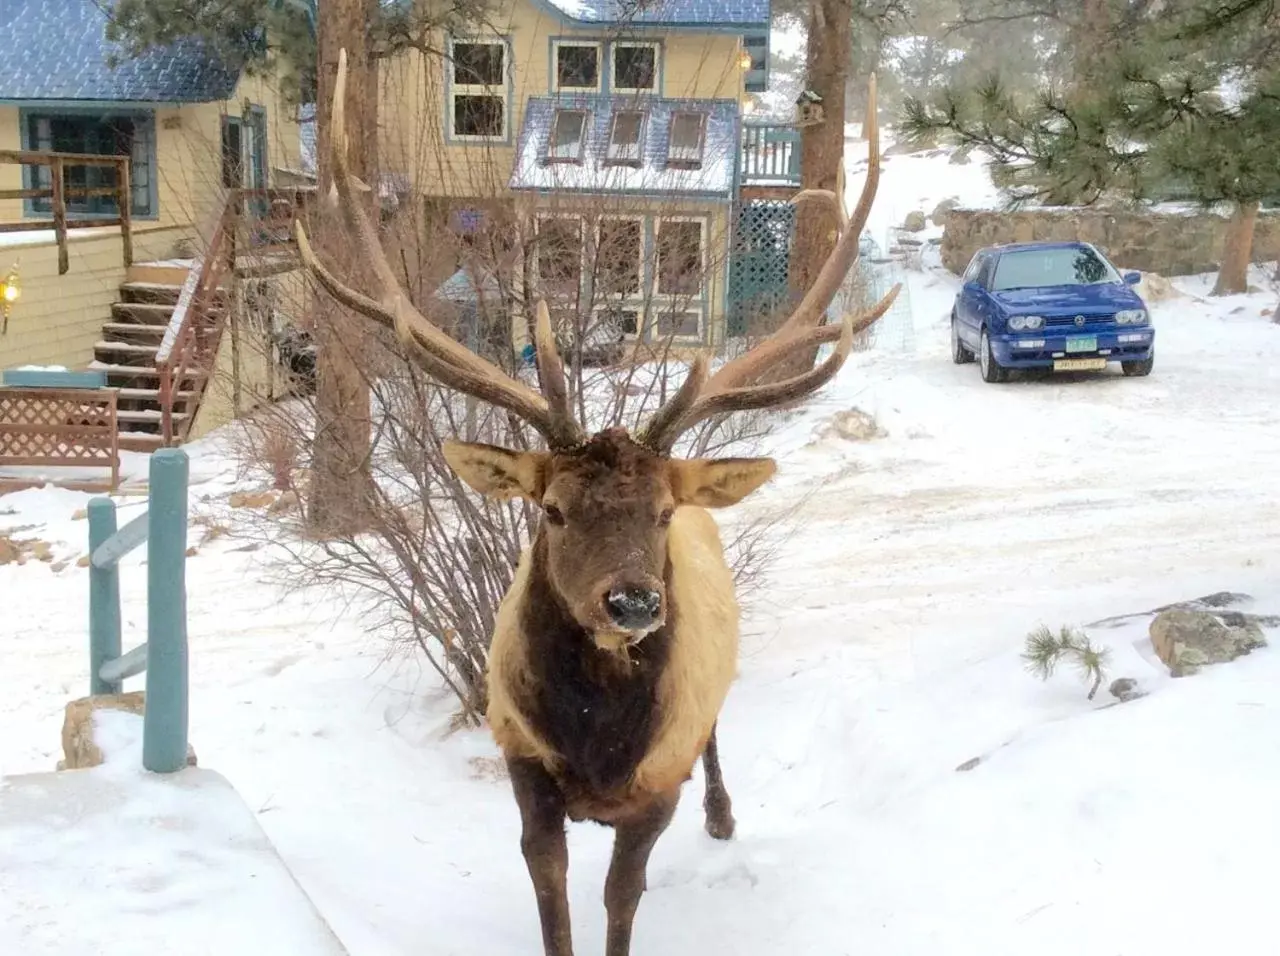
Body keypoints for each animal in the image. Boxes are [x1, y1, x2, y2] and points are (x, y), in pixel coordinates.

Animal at [299, 50, 901, 956]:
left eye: (660, 512)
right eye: (550, 510)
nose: (633, 603)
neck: (595, 749)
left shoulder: (656, 788)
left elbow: (623, 900)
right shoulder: (521, 763)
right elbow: (553, 900)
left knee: (718, 735)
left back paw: (724, 817)